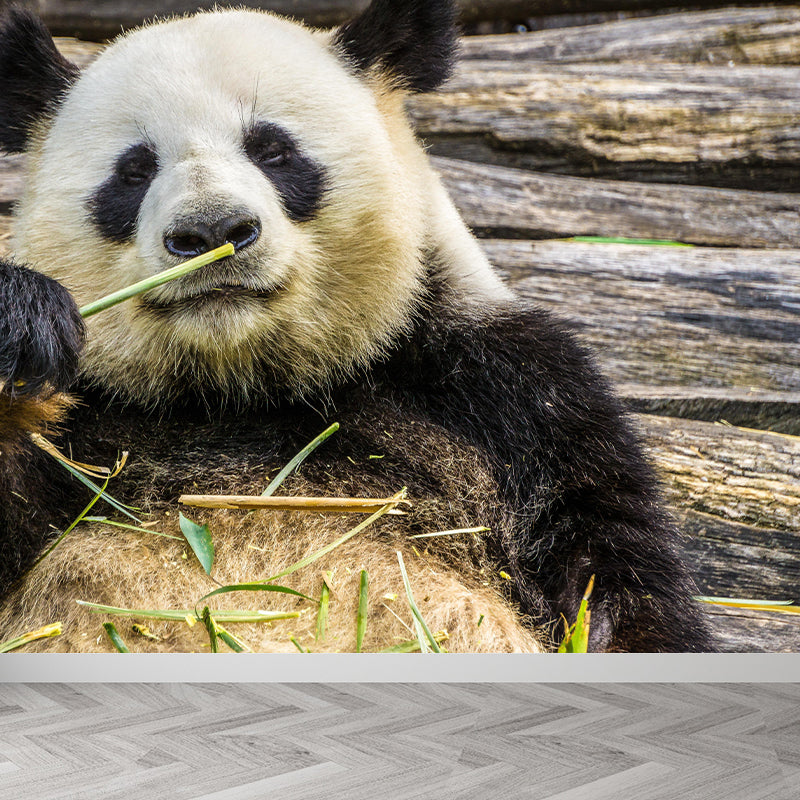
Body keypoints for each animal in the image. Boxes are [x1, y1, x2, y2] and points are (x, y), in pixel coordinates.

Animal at [0, 1, 715, 653]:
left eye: (274, 151)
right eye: (134, 170)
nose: (211, 232)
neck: (240, 388)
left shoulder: (506, 398)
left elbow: (610, 573)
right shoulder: (94, 423)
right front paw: (23, 323)